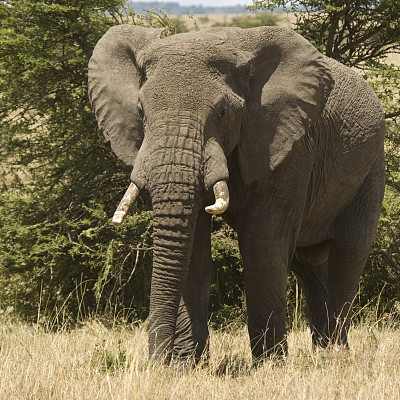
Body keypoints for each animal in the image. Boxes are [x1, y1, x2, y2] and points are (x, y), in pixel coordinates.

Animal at [89, 24, 386, 362]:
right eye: (141, 111)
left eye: (222, 111)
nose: (155, 362)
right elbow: (194, 249)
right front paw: (185, 366)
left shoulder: (287, 144)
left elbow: (262, 244)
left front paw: (270, 365)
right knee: (310, 266)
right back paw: (323, 352)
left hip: (371, 168)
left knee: (348, 255)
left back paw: (335, 354)